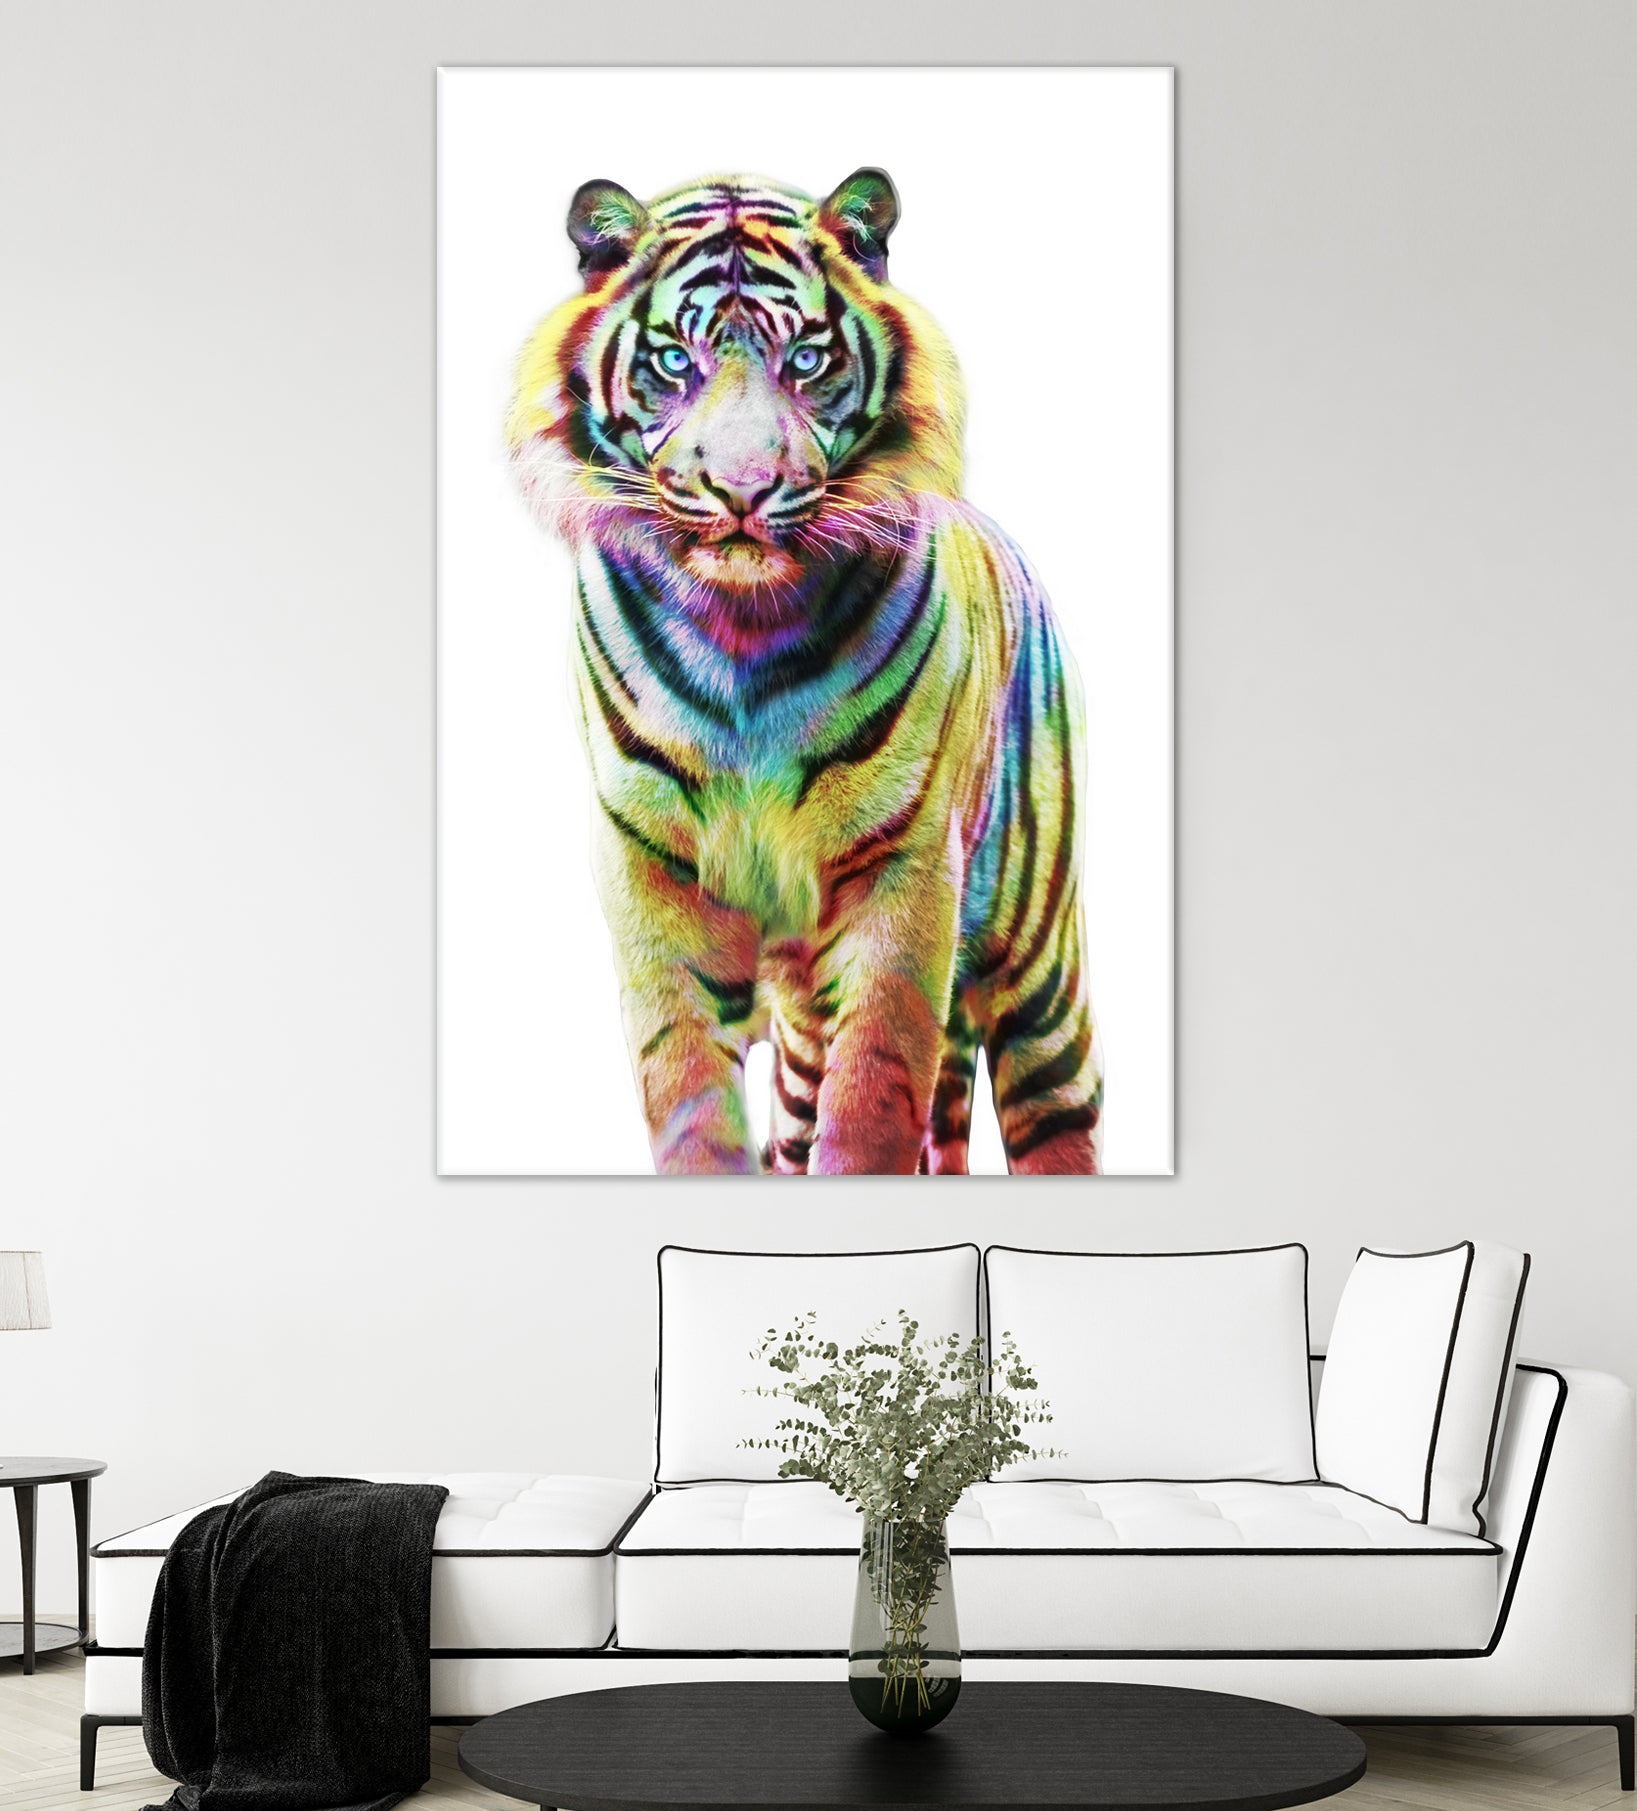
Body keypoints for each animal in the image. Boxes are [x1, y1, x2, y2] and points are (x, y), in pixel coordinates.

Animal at [506, 167, 1103, 1176]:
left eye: (808, 359)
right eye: (674, 361)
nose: (742, 490)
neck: (740, 636)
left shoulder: (903, 871)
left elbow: (872, 1097)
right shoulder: (648, 867)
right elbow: (686, 1089)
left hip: (1038, 973)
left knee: (1056, 1113)